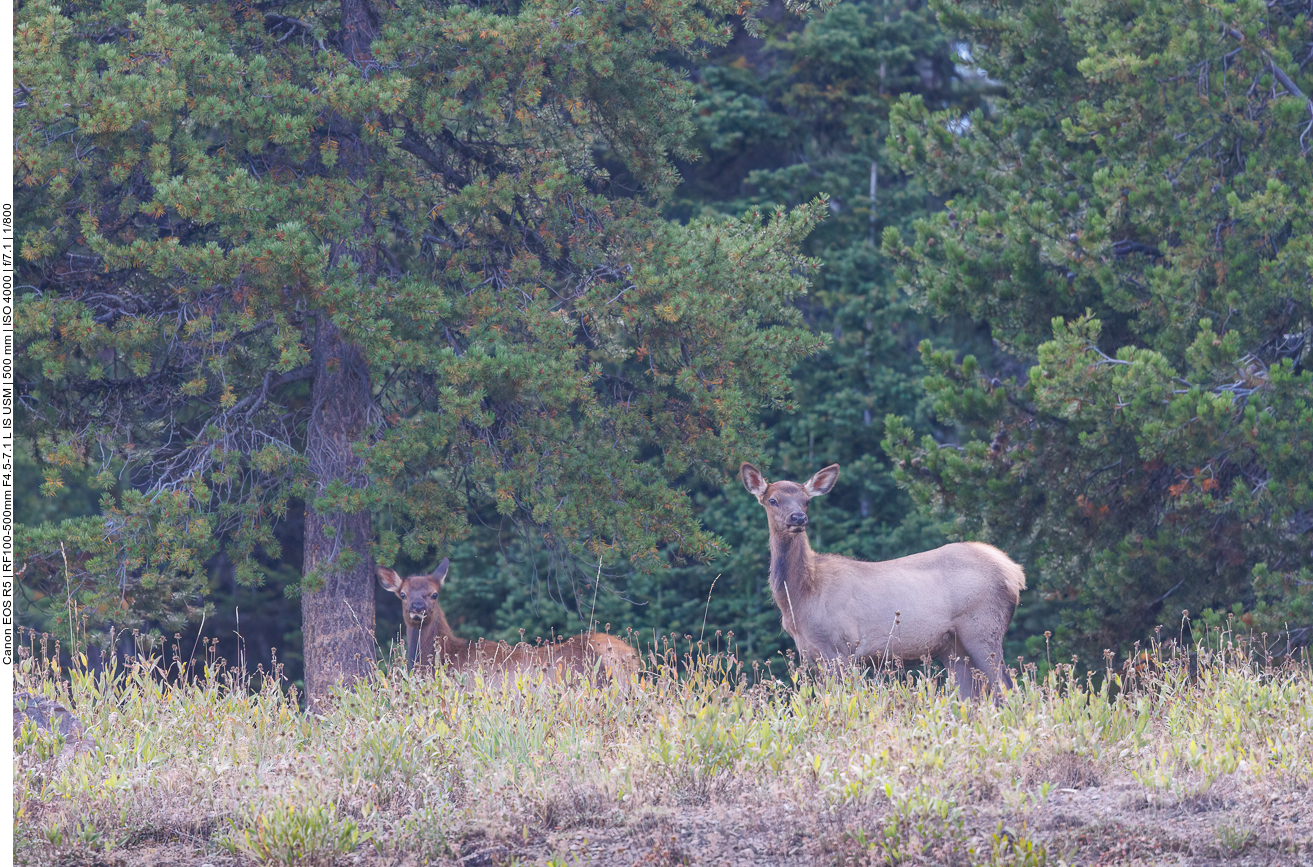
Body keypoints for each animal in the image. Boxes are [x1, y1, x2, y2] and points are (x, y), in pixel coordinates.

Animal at [740, 459, 1024, 698]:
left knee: (1007, 689)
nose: (798, 518)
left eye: (806, 500)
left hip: (983, 627)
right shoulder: (811, 652)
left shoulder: (841, 647)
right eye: (773, 500)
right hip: (953, 646)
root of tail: (1014, 572)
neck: (801, 597)